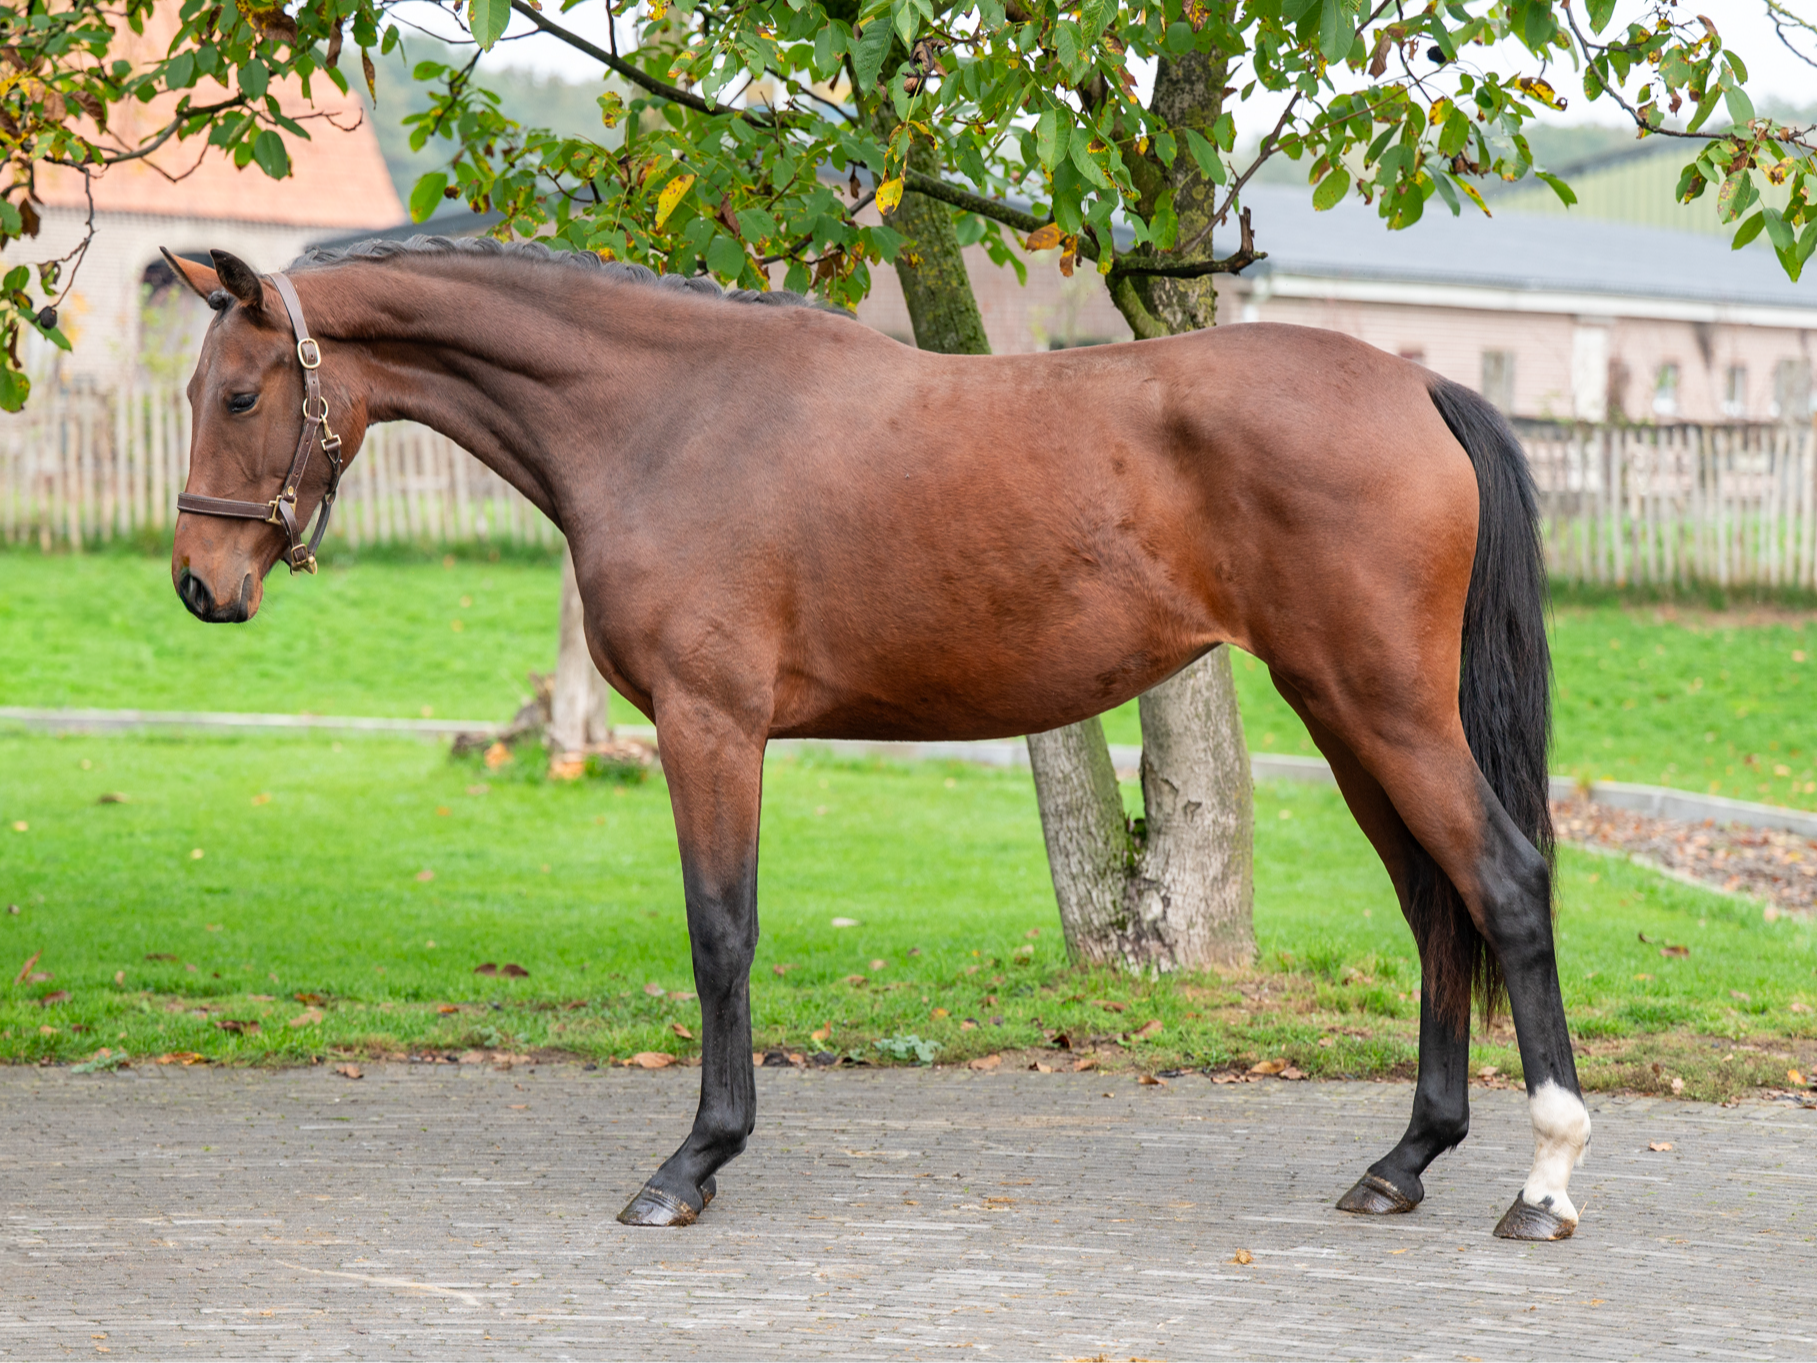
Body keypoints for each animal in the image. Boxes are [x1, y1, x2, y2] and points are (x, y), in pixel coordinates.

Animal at [160, 236, 1587, 1241]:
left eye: (238, 393)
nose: (197, 584)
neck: (666, 414)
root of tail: (1415, 381)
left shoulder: (711, 724)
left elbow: (718, 934)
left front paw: (692, 1164)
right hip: (1345, 716)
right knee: (1436, 906)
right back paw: (1401, 1163)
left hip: (1379, 708)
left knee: (1505, 884)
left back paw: (1544, 1182)